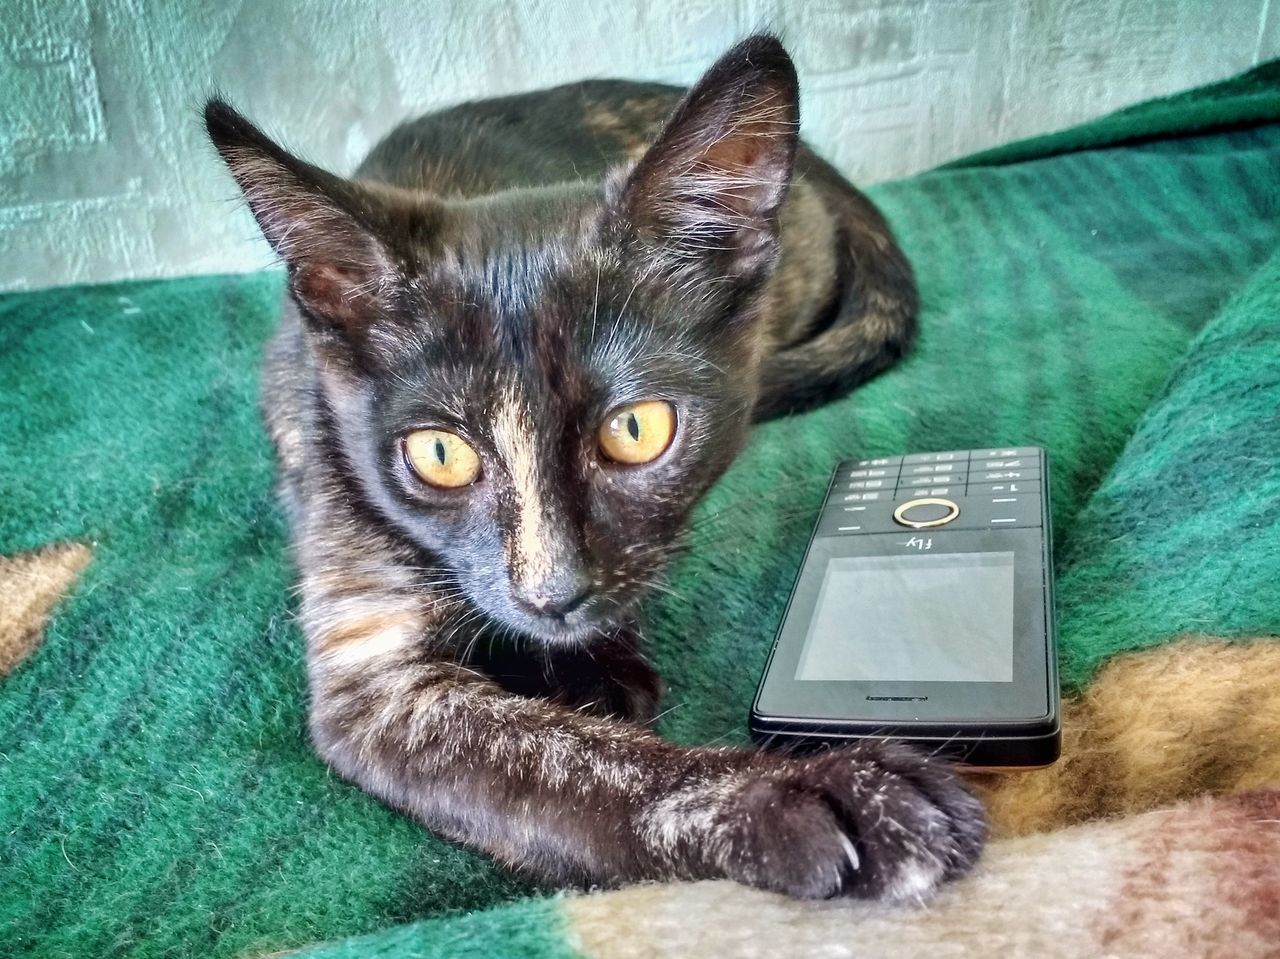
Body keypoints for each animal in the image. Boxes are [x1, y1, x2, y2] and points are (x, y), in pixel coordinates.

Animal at [207, 35, 988, 896]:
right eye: (440, 453)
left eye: (637, 430)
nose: (551, 593)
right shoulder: (369, 675)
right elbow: (568, 762)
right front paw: (803, 792)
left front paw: (597, 662)